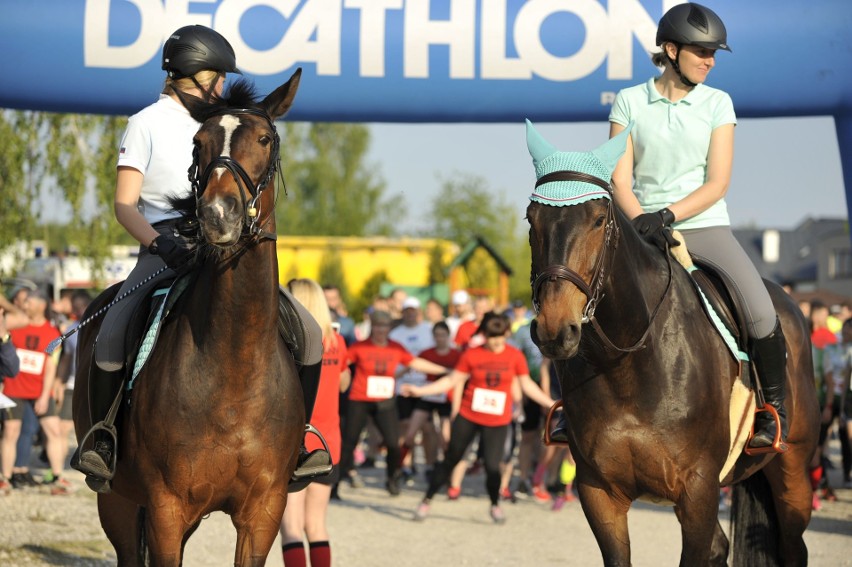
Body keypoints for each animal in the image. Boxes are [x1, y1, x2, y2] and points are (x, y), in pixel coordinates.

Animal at [72, 72, 306, 567]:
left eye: (264, 139)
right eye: (199, 143)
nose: (218, 214)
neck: (234, 365)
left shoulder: (263, 511)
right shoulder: (167, 508)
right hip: (117, 500)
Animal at [524, 122, 824, 564]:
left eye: (598, 219)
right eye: (532, 219)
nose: (554, 329)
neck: (627, 365)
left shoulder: (697, 490)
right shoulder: (599, 493)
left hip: (793, 471)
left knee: (792, 546)